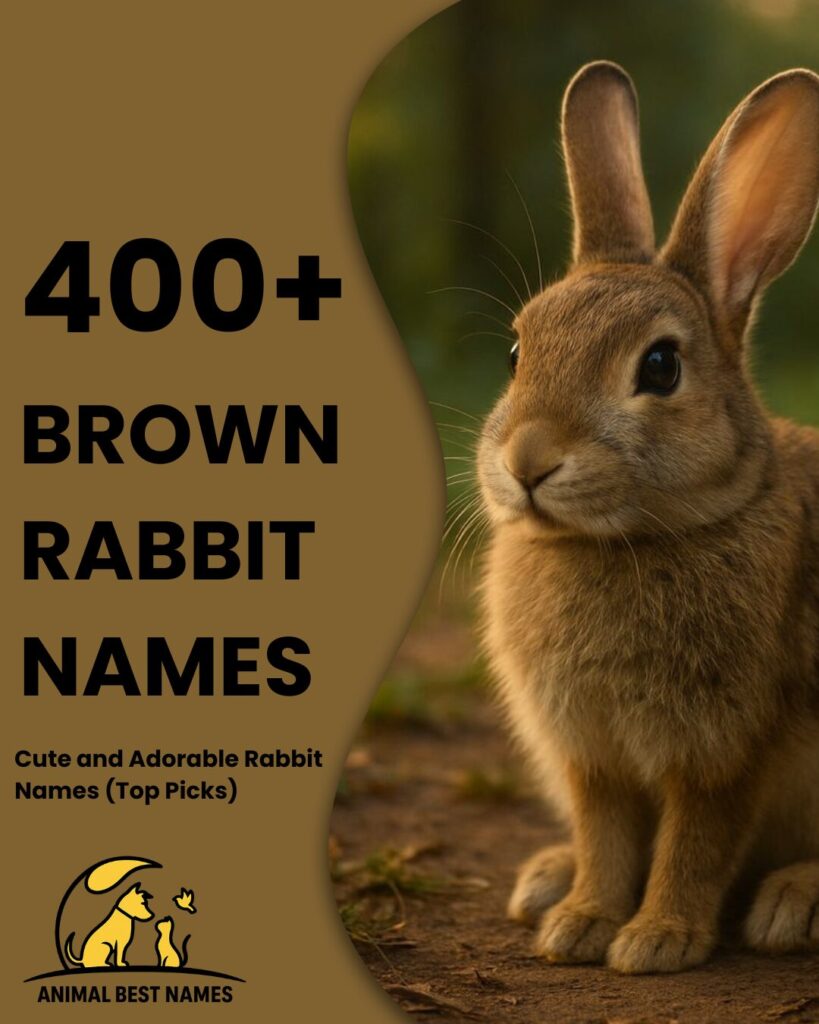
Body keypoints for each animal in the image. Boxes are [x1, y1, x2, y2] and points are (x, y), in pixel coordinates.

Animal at [477, 60, 819, 974]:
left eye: (660, 367)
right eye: (517, 352)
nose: (526, 462)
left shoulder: (724, 749)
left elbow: (694, 844)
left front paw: (656, 940)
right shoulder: (589, 755)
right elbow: (606, 838)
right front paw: (581, 923)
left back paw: (792, 902)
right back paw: (546, 880)